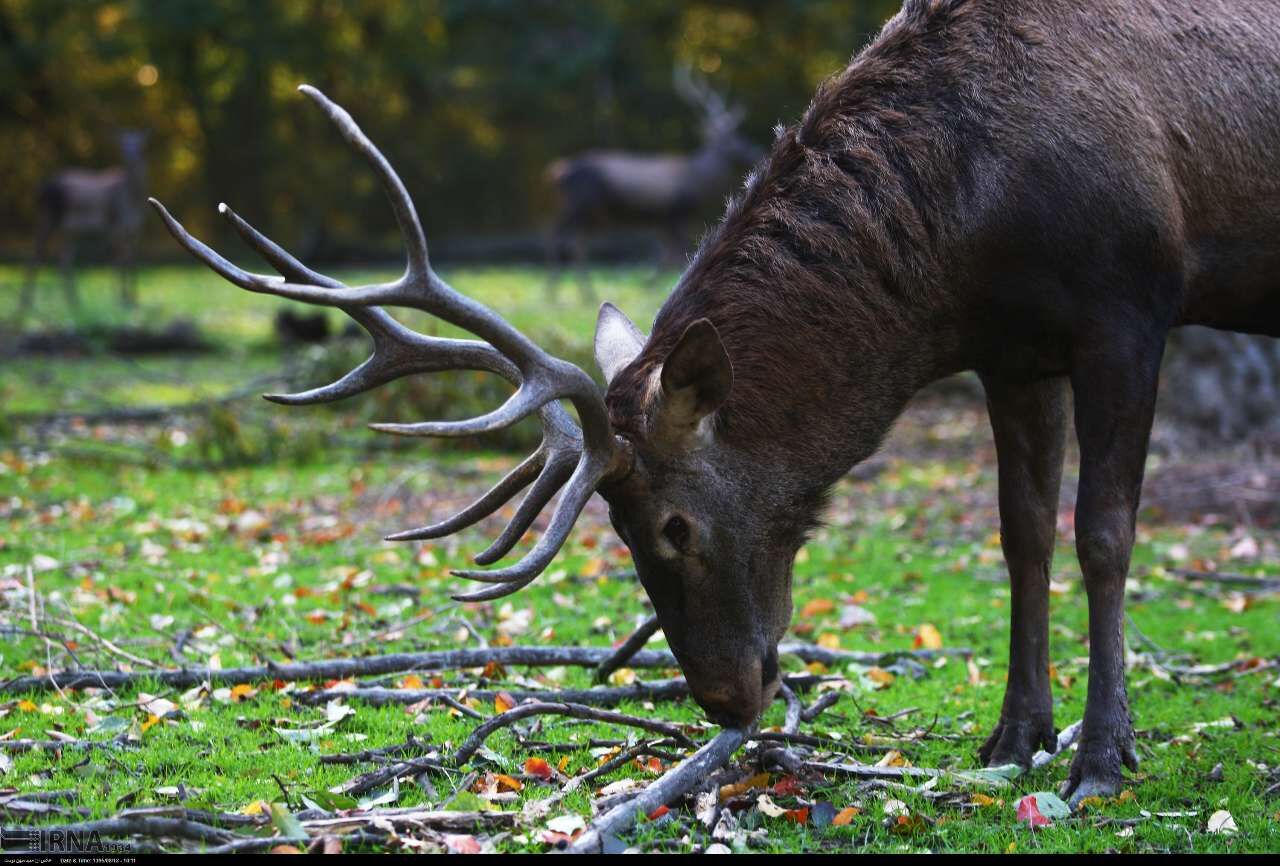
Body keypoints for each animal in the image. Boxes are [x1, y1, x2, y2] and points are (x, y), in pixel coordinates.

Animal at [19, 128, 148, 317]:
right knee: (36, 254)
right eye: (122, 143)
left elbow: (132, 262)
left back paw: (74, 303)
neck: (133, 200)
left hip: (70, 230)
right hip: (49, 216)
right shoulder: (114, 225)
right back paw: (26, 305)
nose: (130, 155)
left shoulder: (135, 230)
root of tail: (41, 189)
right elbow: (118, 262)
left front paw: (134, 300)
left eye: (139, 143)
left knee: (63, 261)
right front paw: (121, 301)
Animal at [542, 66, 757, 300]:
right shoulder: (675, 214)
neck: (697, 181)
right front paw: (653, 287)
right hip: (580, 204)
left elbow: (667, 255)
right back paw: (561, 293)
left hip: (592, 214)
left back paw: (578, 292)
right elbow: (676, 255)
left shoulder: (661, 221)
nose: (754, 149)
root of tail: (559, 172)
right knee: (558, 234)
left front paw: (650, 286)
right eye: (731, 138)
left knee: (575, 241)